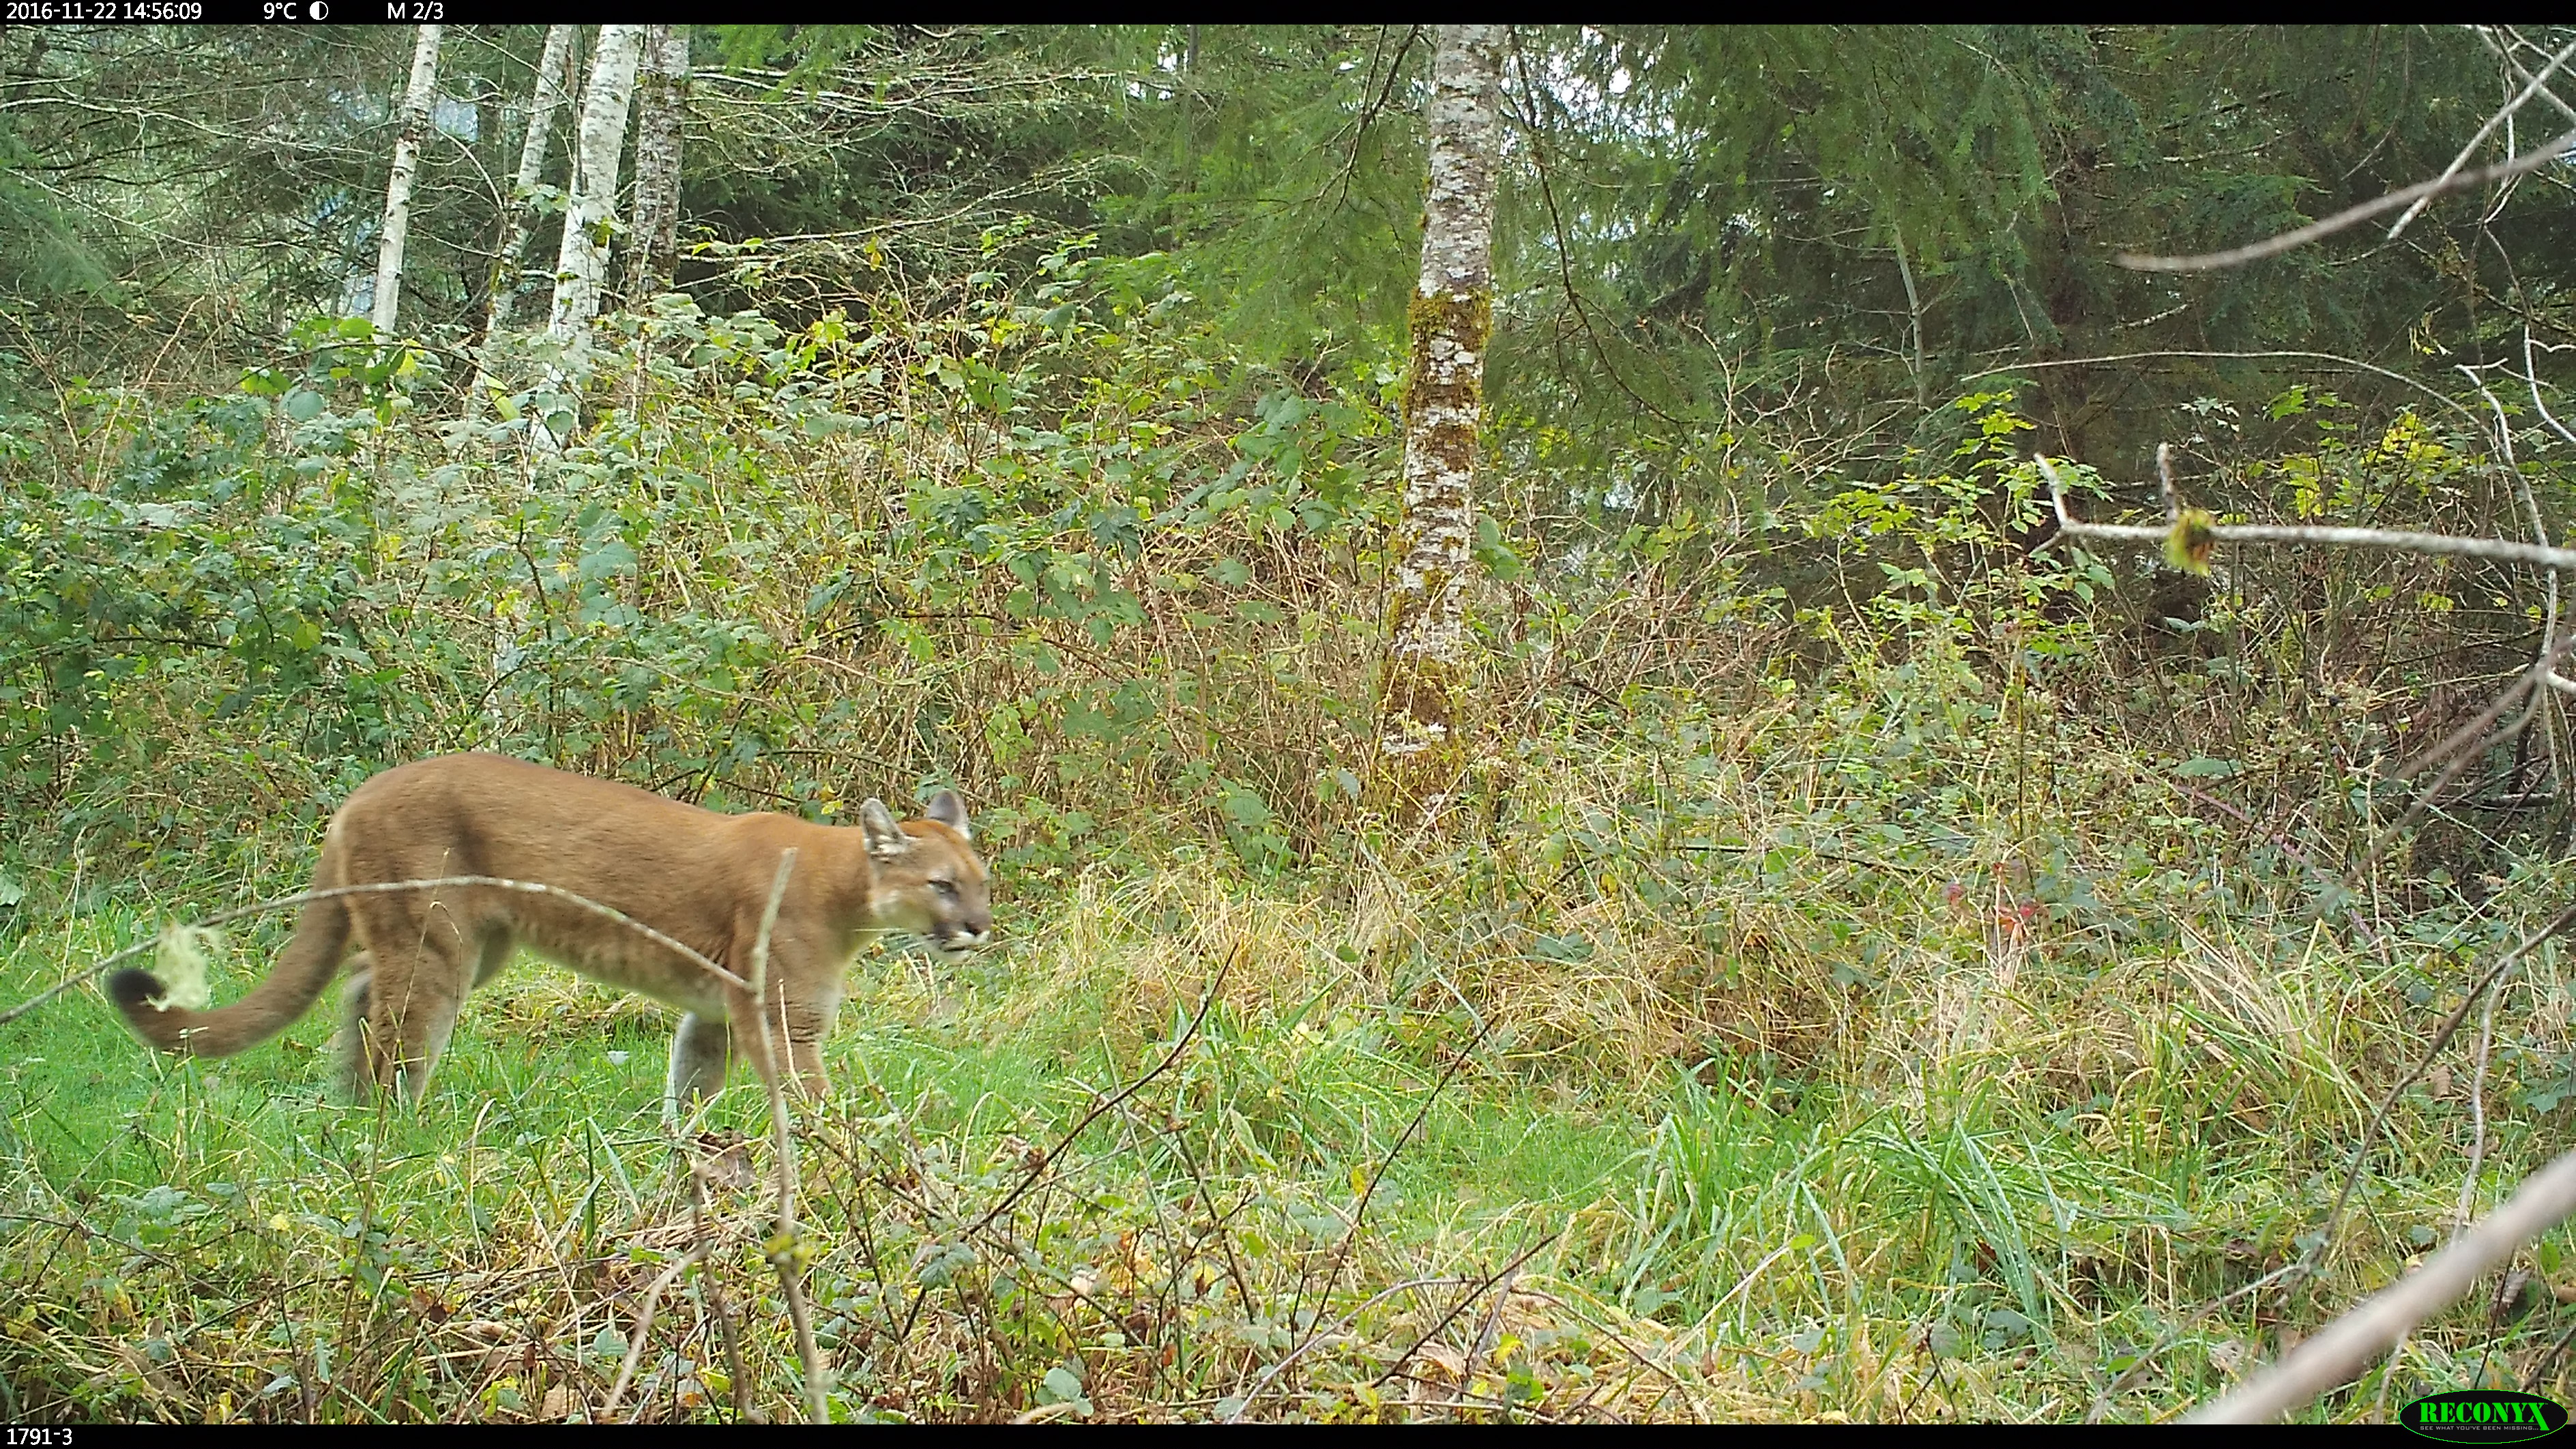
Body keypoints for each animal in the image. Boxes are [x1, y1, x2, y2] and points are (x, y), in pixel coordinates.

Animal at [115, 748, 989, 1098]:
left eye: (984, 885)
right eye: (942, 887)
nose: (979, 928)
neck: (845, 887)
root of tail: (362, 792)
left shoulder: (712, 1010)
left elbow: (692, 1089)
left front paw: (693, 1164)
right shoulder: (781, 1016)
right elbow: (808, 1098)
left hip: (470, 944)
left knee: (361, 989)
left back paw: (348, 1102)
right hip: (437, 942)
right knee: (398, 1029)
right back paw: (393, 1127)